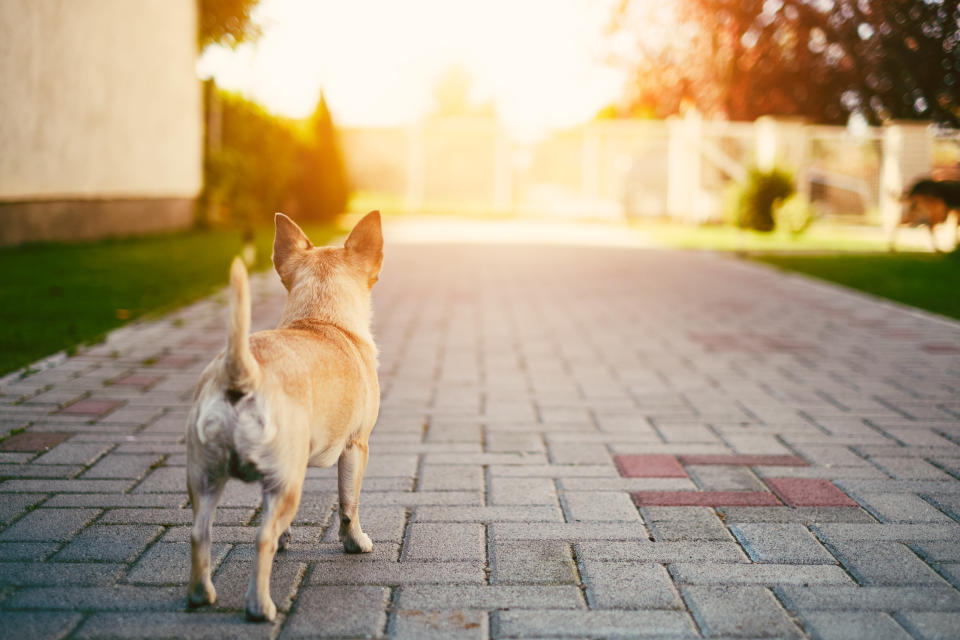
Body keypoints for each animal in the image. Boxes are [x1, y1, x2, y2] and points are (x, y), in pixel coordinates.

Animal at [186, 210, 384, 620]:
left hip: (207, 476)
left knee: (200, 532)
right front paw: (355, 542)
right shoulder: (356, 448)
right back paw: (260, 606)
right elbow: (349, 503)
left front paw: (288, 538)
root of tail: (241, 374)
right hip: (287, 481)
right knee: (261, 539)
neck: (321, 320)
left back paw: (200, 594)